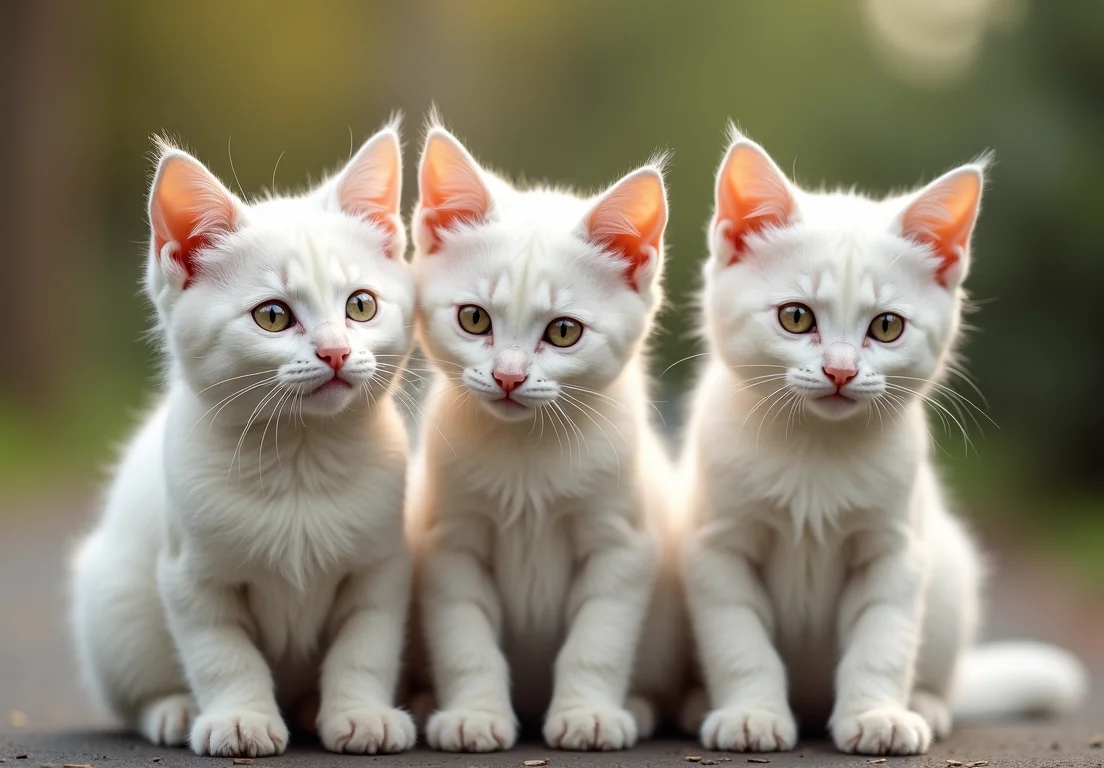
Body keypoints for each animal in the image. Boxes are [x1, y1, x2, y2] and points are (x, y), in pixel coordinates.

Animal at [69, 124, 419, 754]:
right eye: (273, 316)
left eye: (361, 305)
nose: (336, 352)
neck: (301, 459)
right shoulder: (191, 575)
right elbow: (222, 653)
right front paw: (239, 718)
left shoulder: (381, 565)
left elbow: (365, 644)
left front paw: (361, 712)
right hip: (112, 604)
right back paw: (174, 709)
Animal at [406, 124, 680, 750]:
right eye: (474, 319)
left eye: (563, 332)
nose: (509, 377)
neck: (526, 457)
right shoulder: (449, 542)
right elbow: (465, 639)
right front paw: (474, 714)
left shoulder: (622, 543)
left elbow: (597, 640)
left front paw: (588, 714)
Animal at [680, 125, 1086, 754]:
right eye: (795, 317)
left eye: (887, 326)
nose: (841, 371)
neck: (814, 453)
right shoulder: (716, 545)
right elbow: (739, 639)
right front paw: (751, 713)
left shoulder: (895, 549)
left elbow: (882, 640)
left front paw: (878, 716)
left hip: (950, 573)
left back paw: (925, 704)